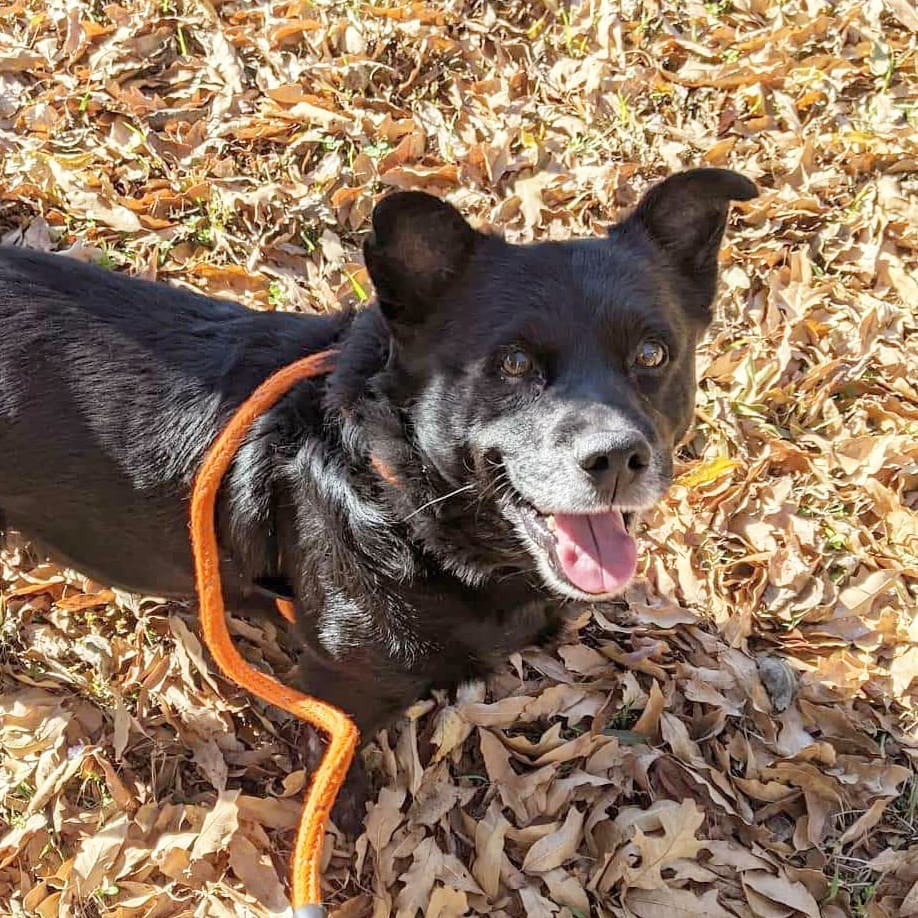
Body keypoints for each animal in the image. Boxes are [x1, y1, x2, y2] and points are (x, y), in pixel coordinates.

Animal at [0, 171, 760, 820]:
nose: (616, 459)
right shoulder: (338, 689)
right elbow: (338, 771)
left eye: (653, 355)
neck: (401, 503)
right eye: (513, 363)